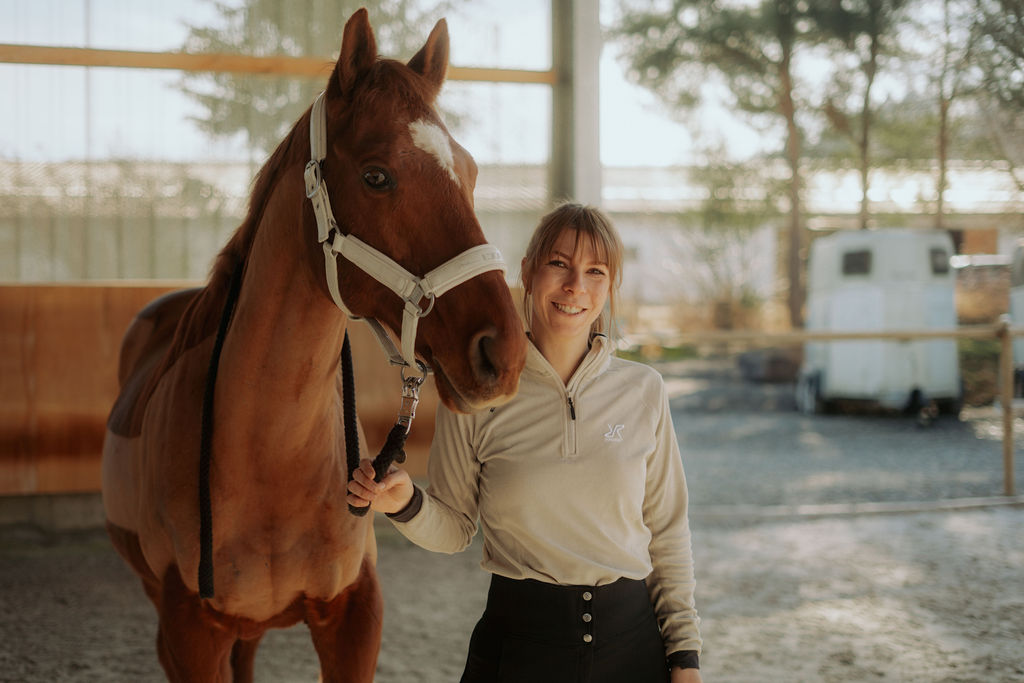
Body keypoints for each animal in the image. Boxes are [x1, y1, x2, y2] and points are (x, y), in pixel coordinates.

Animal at [100, 9, 527, 682]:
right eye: (377, 176)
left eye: (472, 173)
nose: (502, 352)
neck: (270, 462)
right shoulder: (191, 632)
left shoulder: (354, 618)